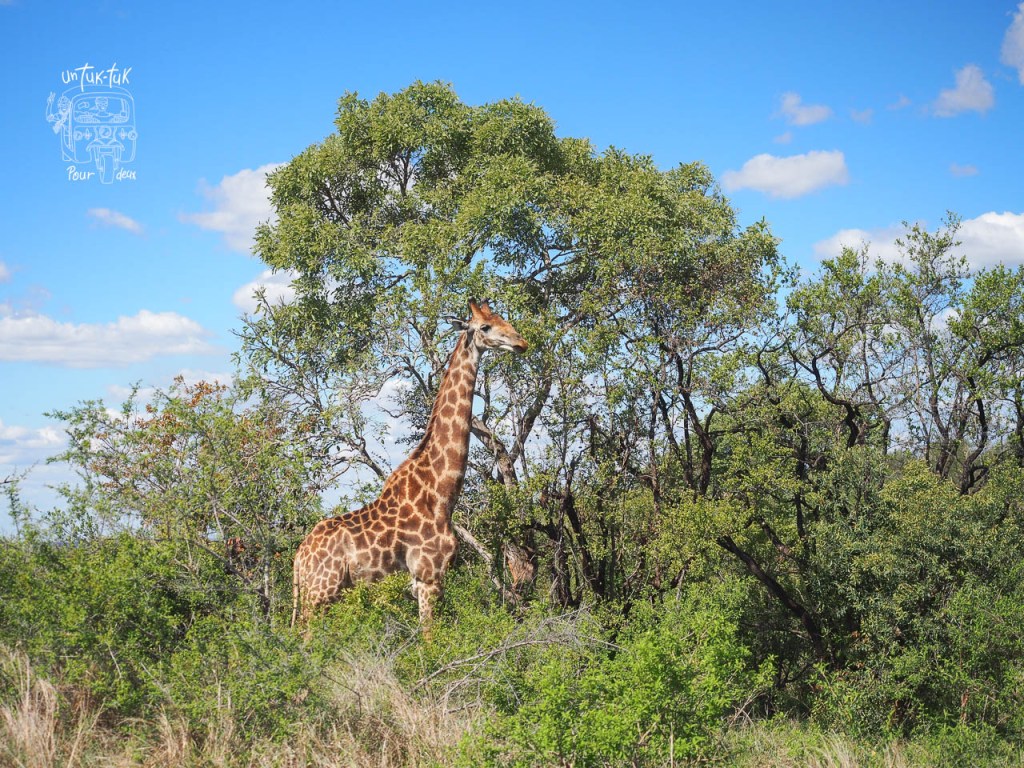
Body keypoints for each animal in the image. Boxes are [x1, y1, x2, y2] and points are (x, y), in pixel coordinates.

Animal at [292, 299, 528, 632]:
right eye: (485, 327)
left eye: (503, 319)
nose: (522, 343)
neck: (440, 493)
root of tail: (299, 557)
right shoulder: (428, 577)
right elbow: (429, 638)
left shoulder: (429, 582)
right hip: (318, 595)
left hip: (324, 595)